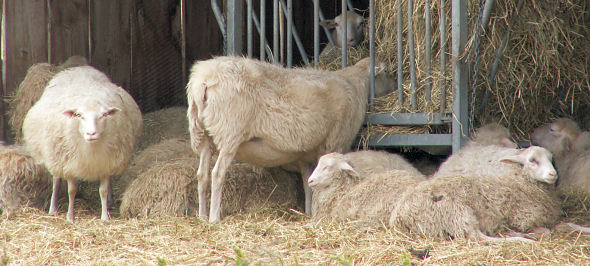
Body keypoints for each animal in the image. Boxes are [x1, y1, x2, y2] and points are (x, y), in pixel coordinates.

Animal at [23, 65, 145, 221]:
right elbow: (72, 191)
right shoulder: (68, 164)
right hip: (54, 156)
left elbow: (103, 190)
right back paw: (53, 208)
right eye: (79, 115)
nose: (91, 133)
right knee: (56, 181)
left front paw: (105, 216)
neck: (91, 149)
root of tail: (79, 68)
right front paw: (70, 217)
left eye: (104, 115)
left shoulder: (106, 163)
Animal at [187, 55, 386, 221]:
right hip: (230, 131)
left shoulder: (305, 155)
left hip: (202, 133)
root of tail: (204, 79)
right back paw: (214, 218)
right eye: (386, 72)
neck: (357, 84)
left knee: (202, 174)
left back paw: (202, 216)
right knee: (217, 173)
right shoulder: (335, 142)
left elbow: (308, 181)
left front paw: (309, 211)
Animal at [390, 145, 568, 241]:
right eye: (533, 160)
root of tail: (399, 216)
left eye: (551, 159)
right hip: (459, 213)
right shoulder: (523, 219)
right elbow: (545, 230)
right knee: (476, 236)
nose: (553, 174)